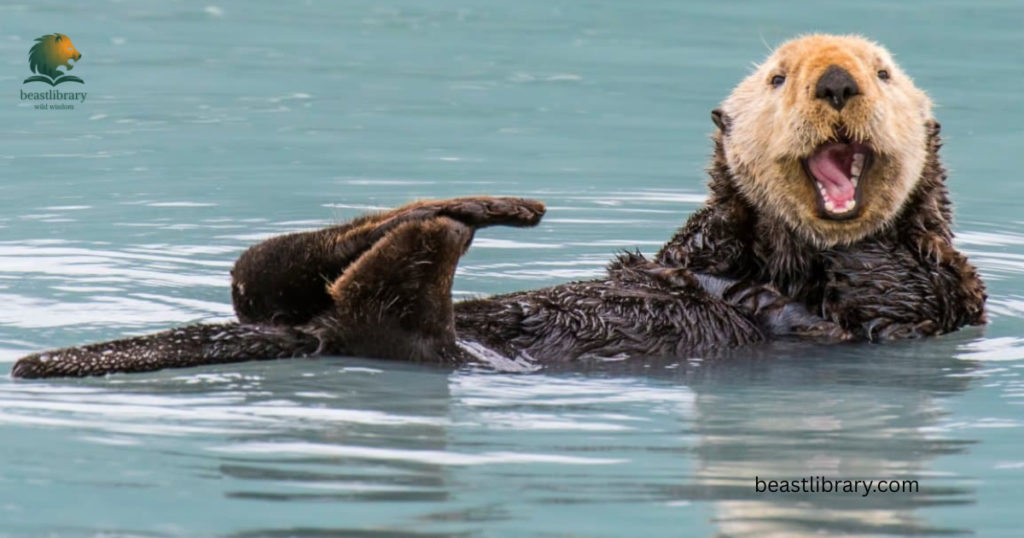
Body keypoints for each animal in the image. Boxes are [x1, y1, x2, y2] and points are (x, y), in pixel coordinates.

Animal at [11, 34, 986, 379]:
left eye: (883, 72)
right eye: (779, 77)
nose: (835, 82)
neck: (786, 253)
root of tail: (308, 334)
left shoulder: (936, 297)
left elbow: (884, 291)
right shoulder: (698, 247)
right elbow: (682, 256)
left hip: (421, 343)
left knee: (370, 310)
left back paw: (447, 228)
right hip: (298, 301)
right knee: (264, 272)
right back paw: (476, 207)